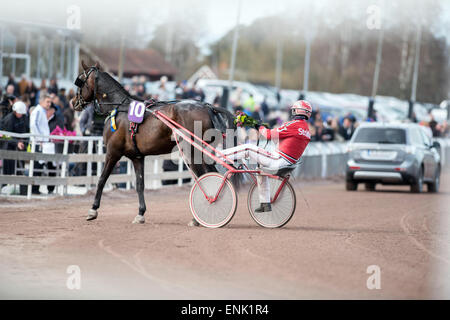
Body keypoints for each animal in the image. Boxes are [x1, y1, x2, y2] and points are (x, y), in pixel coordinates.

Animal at [71, 60, 239, 225]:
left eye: (80, 80)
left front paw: (93, 210)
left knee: (204, 178)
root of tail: (208, 107)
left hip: (192, 152)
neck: (120, 109)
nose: (73, 102)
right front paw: (140, 213)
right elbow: (140, 184)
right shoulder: (137, 157)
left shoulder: (113, 152)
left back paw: (199, 216)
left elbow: (101, 179)